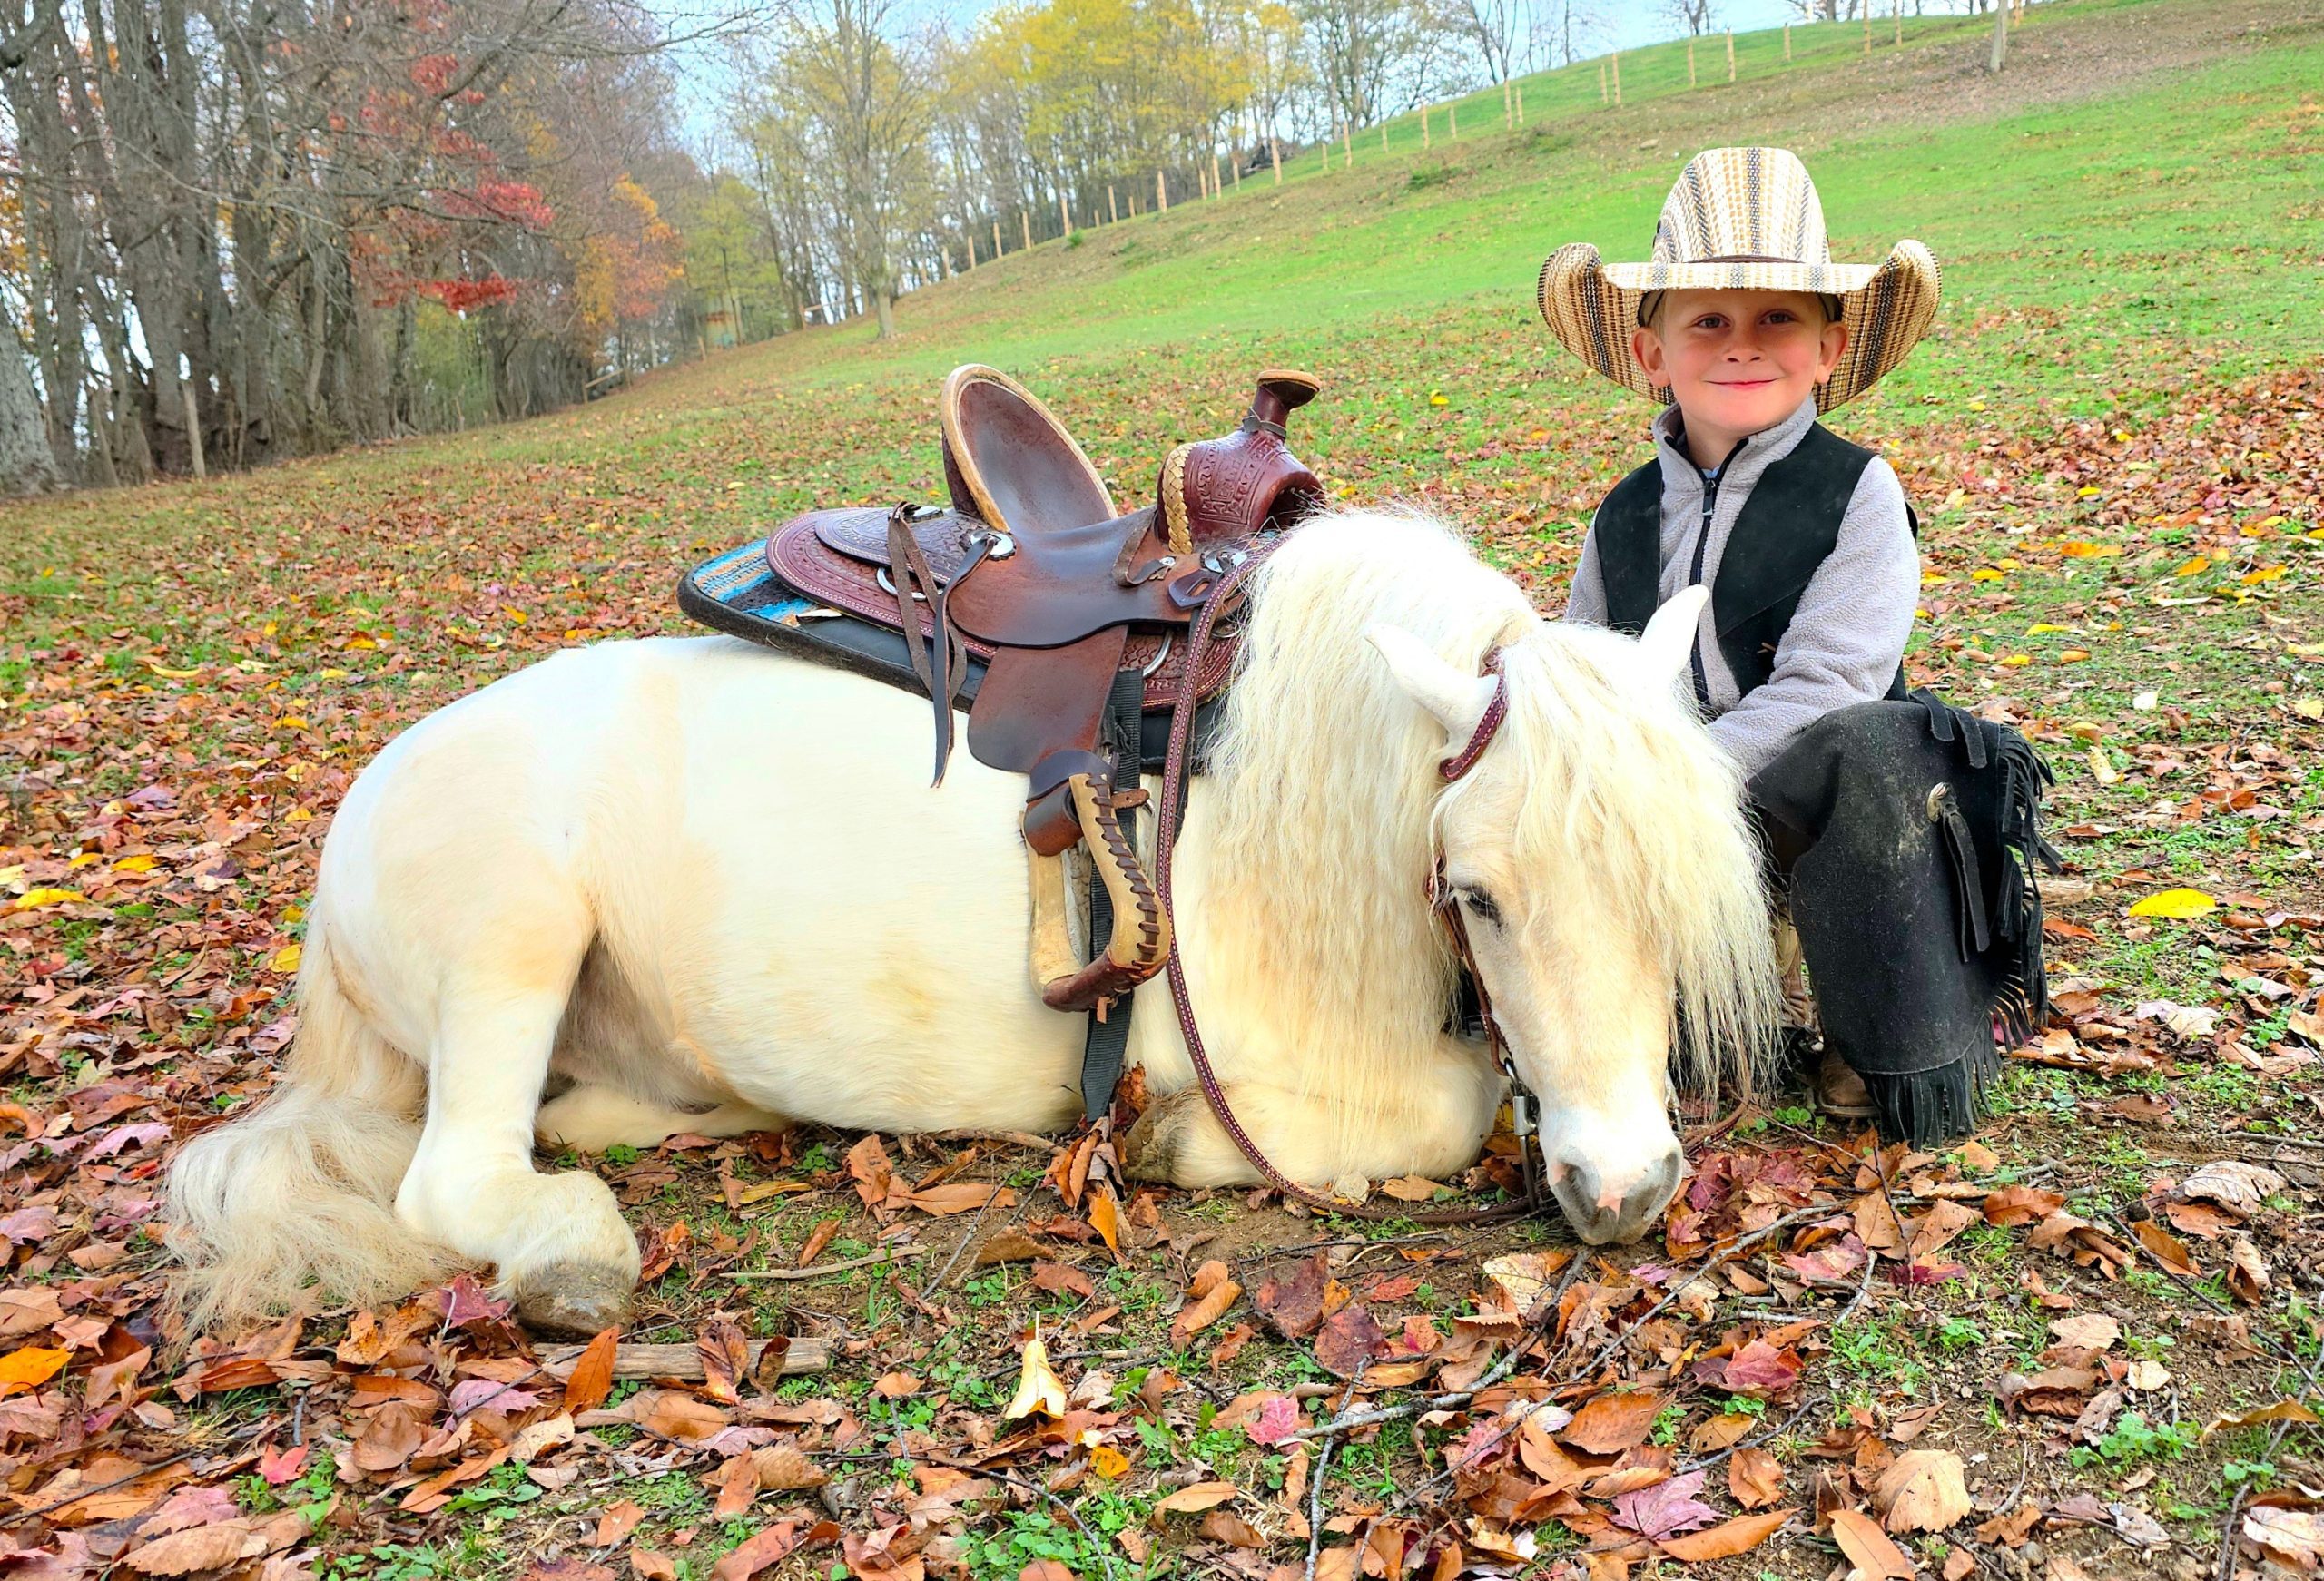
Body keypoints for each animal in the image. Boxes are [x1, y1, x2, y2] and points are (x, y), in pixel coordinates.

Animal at [166, 509, 1779, 1336]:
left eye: (1675, 891)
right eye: (1480, 893)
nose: (1629, 1191)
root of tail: (356, 821)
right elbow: (1444, 1109)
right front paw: (1167, 1144)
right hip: (515, 937)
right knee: (455, 1175)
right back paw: (570, 1250)